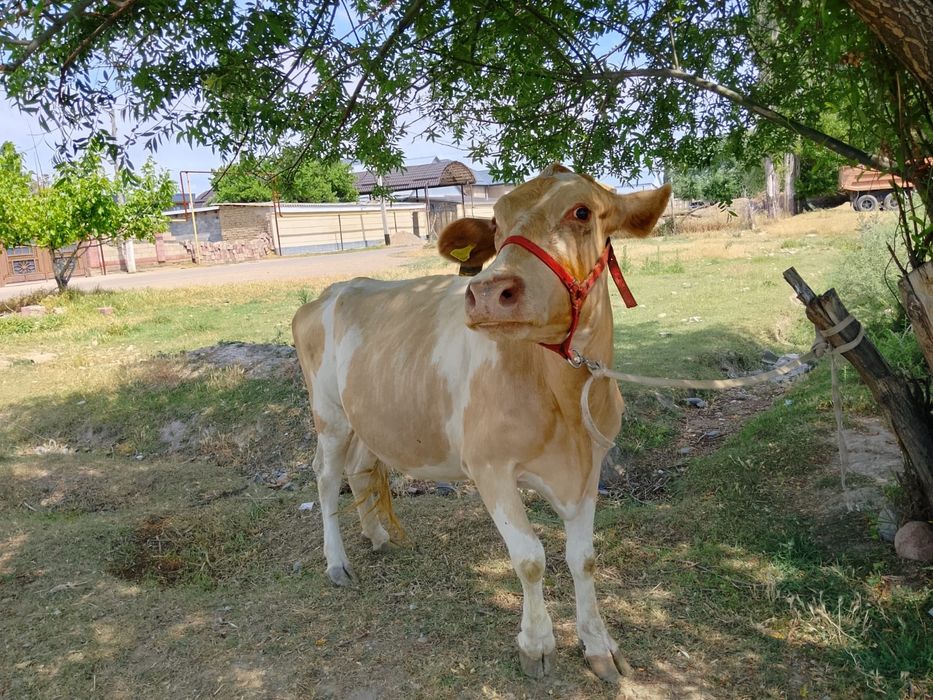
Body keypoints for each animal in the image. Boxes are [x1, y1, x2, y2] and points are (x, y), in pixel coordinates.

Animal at [292, 164, 671, 682]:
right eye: (496, 223)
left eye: (581, 212)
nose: (489, 292)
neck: (564, 397)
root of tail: (333, 290)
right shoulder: (490, 467)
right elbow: (530, 558)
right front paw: (537, 645)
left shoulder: (591, 465)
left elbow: (584, 559)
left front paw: (598, 645)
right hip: (328, 413)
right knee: (328, 477)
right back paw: (337, 563)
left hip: (372, 413)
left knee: (361, 469)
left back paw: (378, 537)